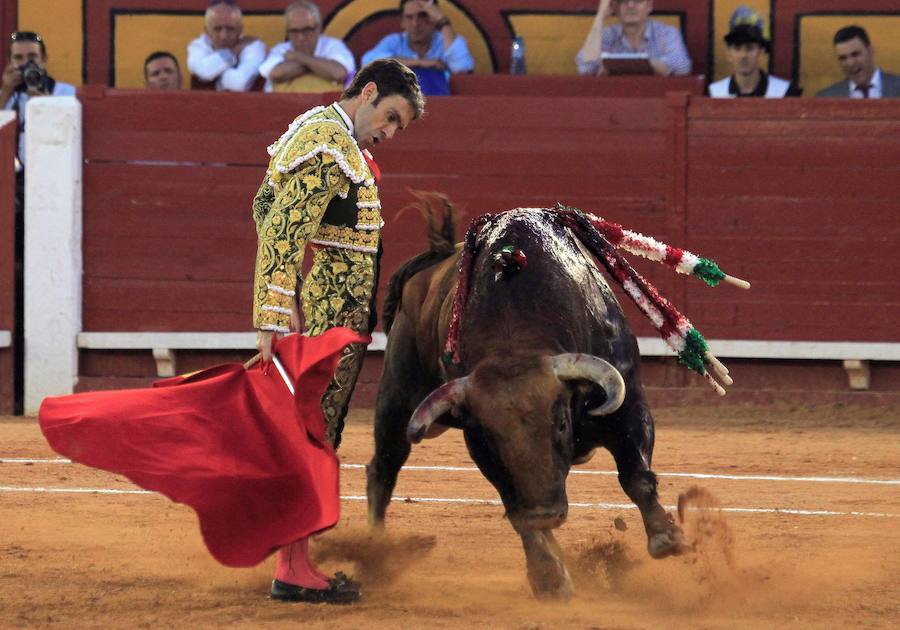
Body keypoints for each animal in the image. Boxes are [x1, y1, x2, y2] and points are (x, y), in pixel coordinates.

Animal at [366, 200, 684, 600]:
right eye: (492, 437)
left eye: (561, 423)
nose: (544, 514)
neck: (515, 340)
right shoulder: (484, 450)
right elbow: (515, 507)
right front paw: (549, 577)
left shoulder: (628, 402)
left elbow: (636, 475)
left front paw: (665, 536)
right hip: (396, 397)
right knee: (383, 470)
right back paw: (375, 554)